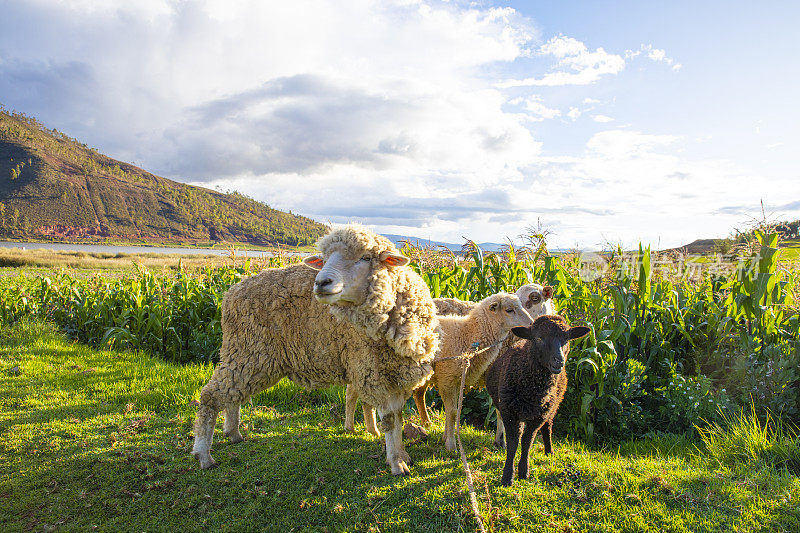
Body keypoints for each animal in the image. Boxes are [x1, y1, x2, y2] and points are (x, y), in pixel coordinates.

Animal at [191, 223, 440, 474]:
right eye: (325, 259)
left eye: (366, 257)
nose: (321, 283)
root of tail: (231, 292)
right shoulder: (371, 370)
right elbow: (389, 419)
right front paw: (396, 463)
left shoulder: (397, 372)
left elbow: (398, 416)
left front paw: (402, 455)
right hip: (248, 350)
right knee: (211, 395)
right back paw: (204, 454)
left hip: (248, 357)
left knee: (232, 395)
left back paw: (233, 433)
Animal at [484, 316, 592, 486]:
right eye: (539, 338)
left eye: (566, 339)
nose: (559, 361)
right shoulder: (509, 412)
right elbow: (514, 442)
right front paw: (508, 476)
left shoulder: (539, 416)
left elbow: (527, 441)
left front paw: (523, 471)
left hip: (553, 406)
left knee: (548, 427)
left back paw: (549, 451)